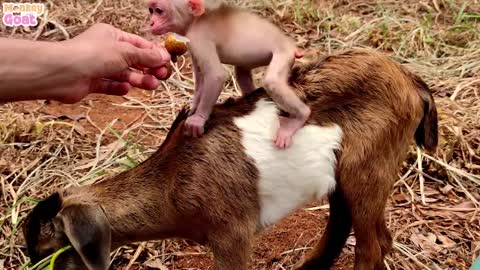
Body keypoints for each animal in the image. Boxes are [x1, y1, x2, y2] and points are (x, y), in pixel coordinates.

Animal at [22, 48, 436, 270]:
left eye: (50, 254)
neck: (173, 180)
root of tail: (411, 81)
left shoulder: (231, 234)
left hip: (369, 166)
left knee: (372, 245)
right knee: (357, 227)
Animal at [148, 0, 310, 148]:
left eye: (159, 11)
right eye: (151, 10)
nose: (151, 22)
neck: (196, 20)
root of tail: (290, 44)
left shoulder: (199, 38)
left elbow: (216, 75)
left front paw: (198, 118)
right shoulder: (192, 45)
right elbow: (200, 80)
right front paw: (193, 108)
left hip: (284, 53)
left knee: (272, 81)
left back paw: (301, 116)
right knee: (242, 72)